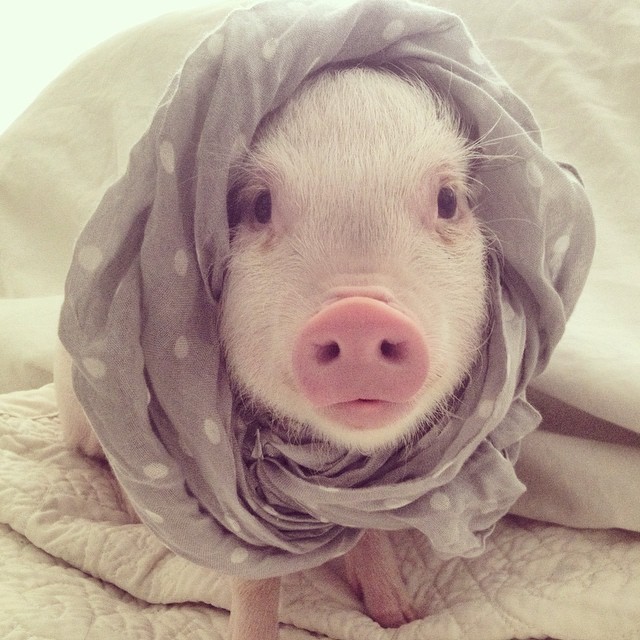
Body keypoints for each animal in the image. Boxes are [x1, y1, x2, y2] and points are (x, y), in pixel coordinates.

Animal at [55, 66, 488, 640]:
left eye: (448, 201)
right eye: (259, 205)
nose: (358, 314)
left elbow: (369, 533)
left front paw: (400, 617)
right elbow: (255, 582)